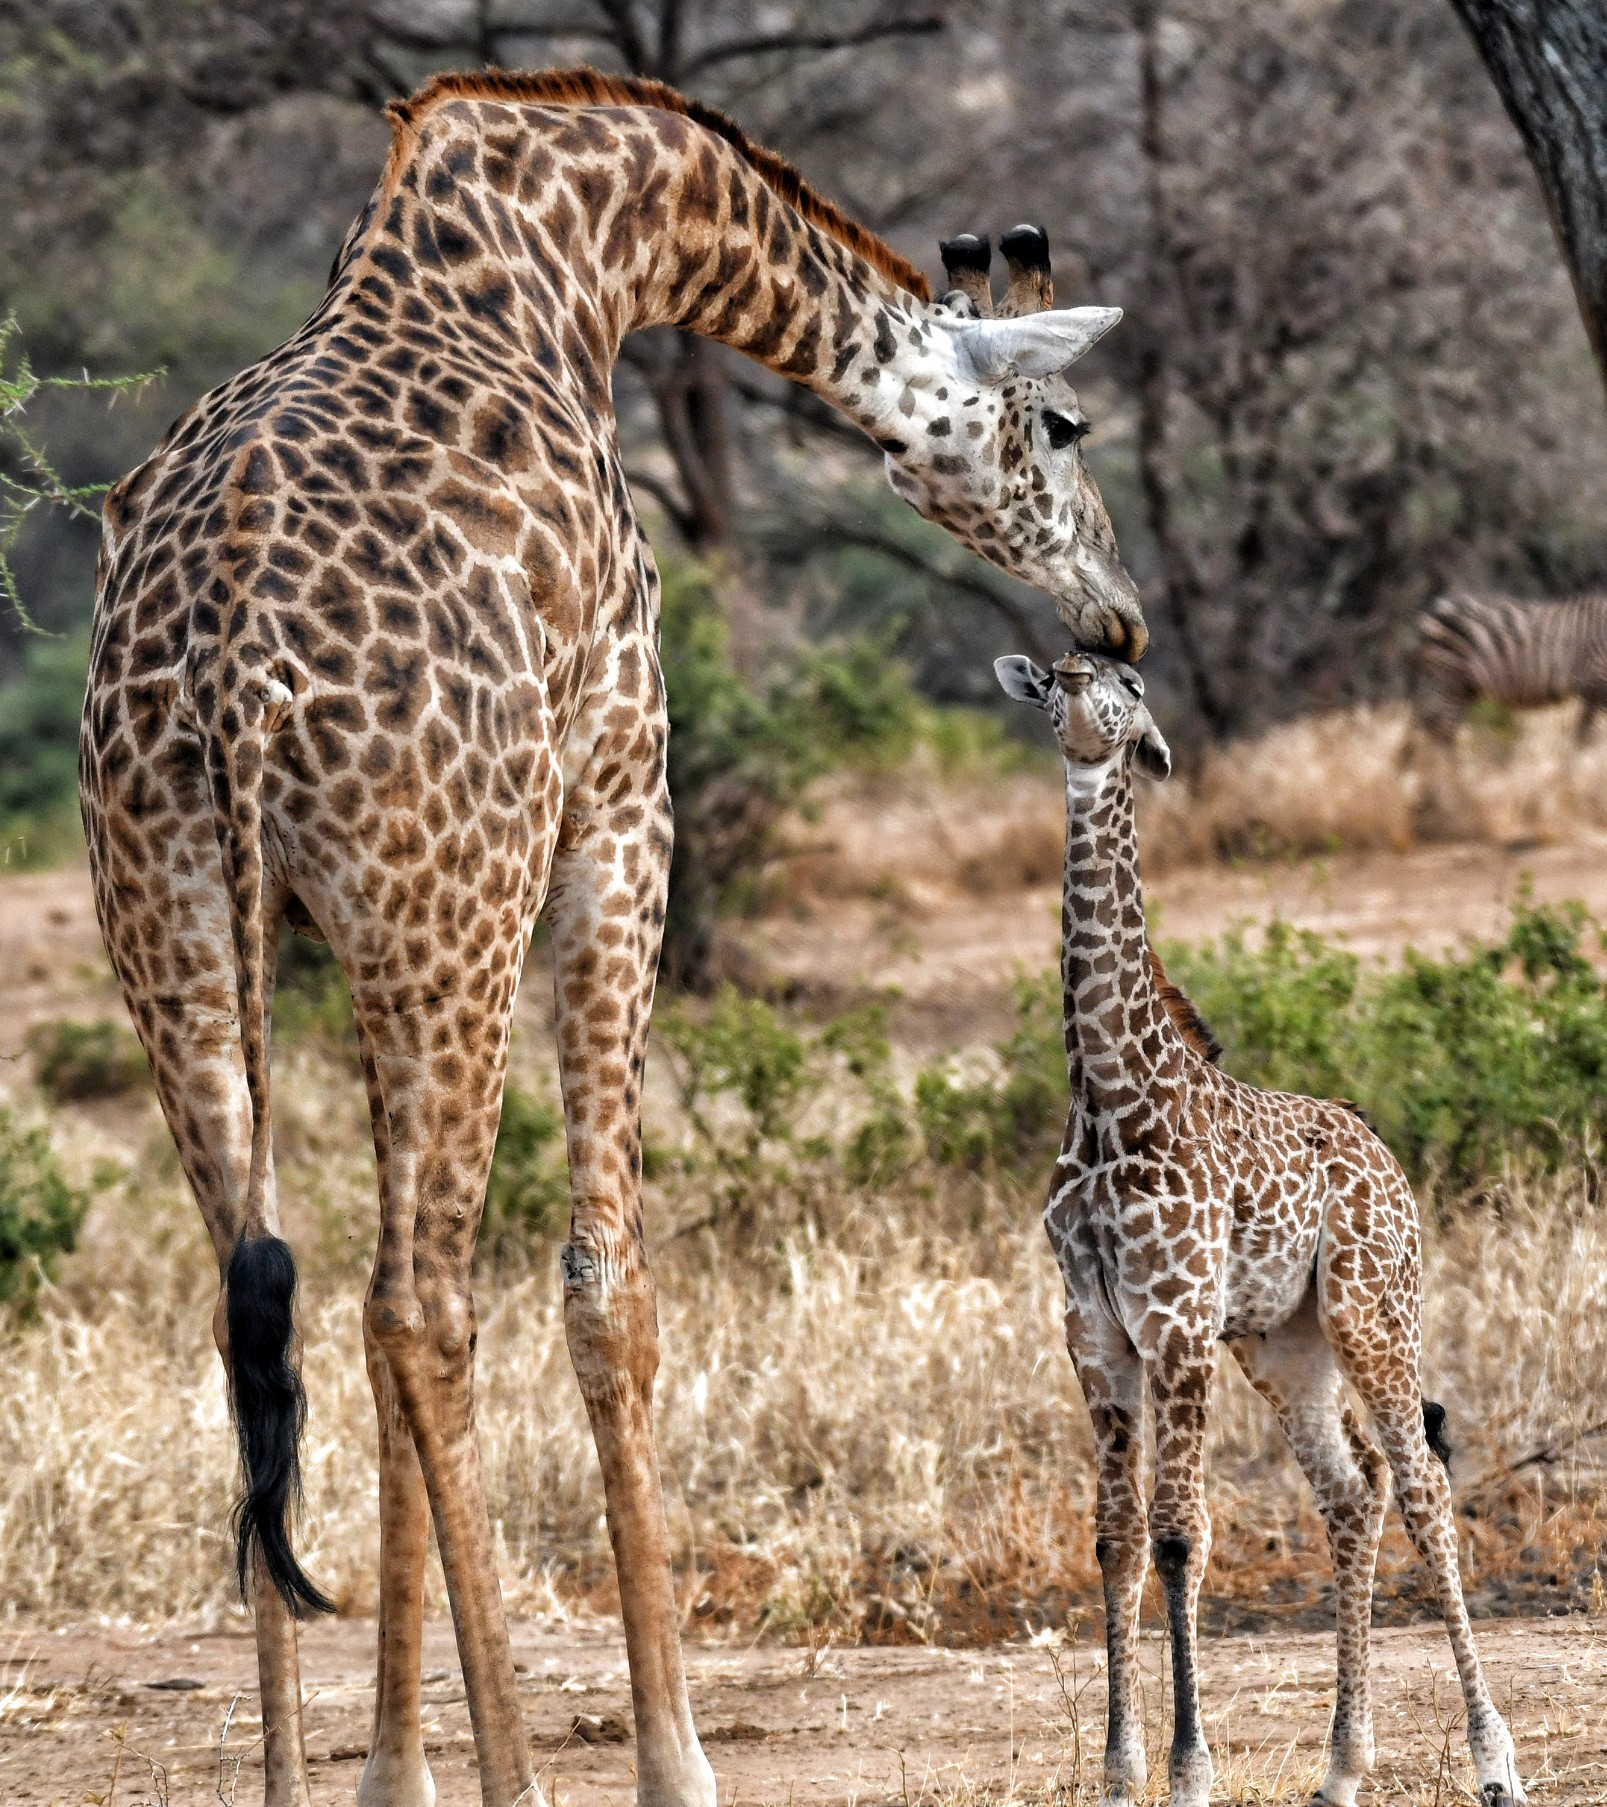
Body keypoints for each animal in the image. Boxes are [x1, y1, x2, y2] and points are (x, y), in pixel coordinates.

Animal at [81, 63, 1149, 1799]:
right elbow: (607, 1284)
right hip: (450, 904)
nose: (1117, 610)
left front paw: (394, 1769)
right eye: (1061, 422)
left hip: (184, 920)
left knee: (276, 1294)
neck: (578, 248)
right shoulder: (619, 804)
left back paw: (301, 1769)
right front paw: (671, 1751)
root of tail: (225, 661)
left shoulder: (351, 923)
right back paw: (522, 1767)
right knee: (418, 1304)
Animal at [997, 657, 1525, 1807]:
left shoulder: (1176, 1319)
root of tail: (1384, 1154)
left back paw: (1493, 1761)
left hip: (1369, 1311)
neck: (1107, 1100)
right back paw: (1339, 1768)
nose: (1077, 694)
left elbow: (1178, 1534)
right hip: (1283, 1343)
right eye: (1053, 676)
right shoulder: (1092, 1330)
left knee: (1420, 1484)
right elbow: (1111, 1540)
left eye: (1128, 684)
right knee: (1352, 1490)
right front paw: (1118, 1772)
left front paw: (1188, 1771)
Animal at [1409, 589, 1605, 737]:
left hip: (1462, 686)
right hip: (1448, 677)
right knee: (1440, 728)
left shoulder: (1593, 690)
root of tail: (1434, 608)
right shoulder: (1596, 683)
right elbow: (1585, 737)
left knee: (1433, 725)